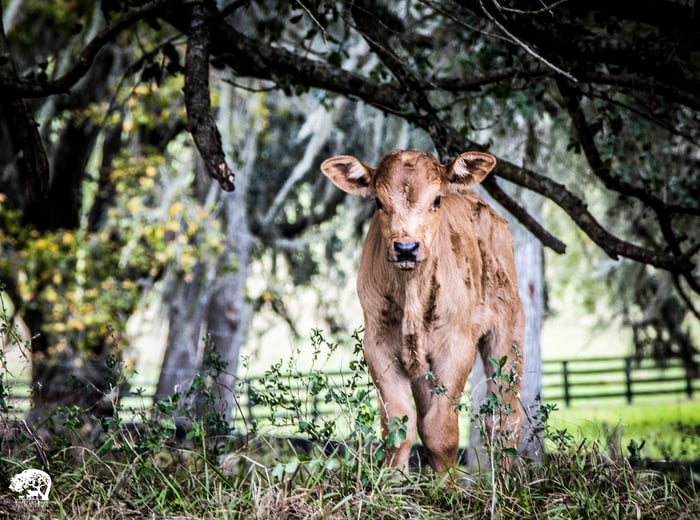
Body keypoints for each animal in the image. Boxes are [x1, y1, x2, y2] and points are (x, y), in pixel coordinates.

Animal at [320, 149, 524, 472]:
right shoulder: (378, 346)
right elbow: (399, 429)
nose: (406, 247)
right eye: (379, 201)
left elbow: (441, 431)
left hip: (508, 334)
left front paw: (447, 485)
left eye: (437, 199)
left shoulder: (456, 347)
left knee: (505, 418)